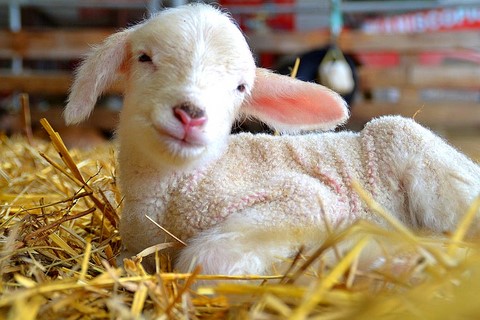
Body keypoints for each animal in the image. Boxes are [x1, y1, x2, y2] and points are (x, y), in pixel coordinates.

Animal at [63, 3, 480, 276]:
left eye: (240, 87)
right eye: (145, 58)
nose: (191, 114)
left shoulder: (304, 199)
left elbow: (205, 260)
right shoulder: (135, 249)